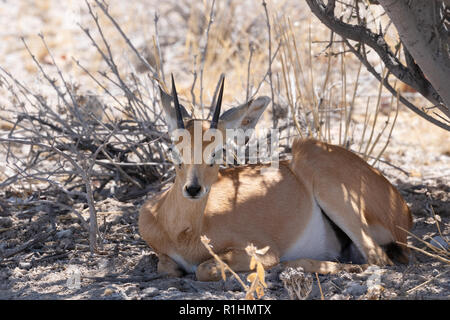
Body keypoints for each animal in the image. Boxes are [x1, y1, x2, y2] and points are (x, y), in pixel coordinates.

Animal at [139, 76, 414, 282]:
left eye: (217, 151)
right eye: (174, 149)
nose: (194, 188)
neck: (183, 232)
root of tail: (403, 209)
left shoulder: (262, 250)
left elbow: (205, 268)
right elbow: (167, 266)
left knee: (377, 259)